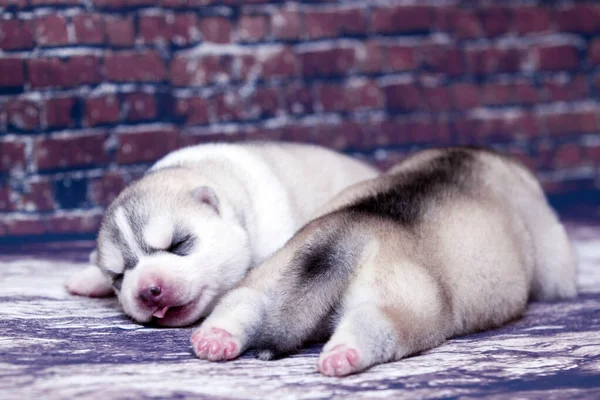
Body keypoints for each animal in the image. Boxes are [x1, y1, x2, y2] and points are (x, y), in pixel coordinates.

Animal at [192, 146, 576, 376]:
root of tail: (353, 229)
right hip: (411, 304)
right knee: (376, 324)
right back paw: (343, 354)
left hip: (279, 269)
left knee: (245, 300)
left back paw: (216, 338)